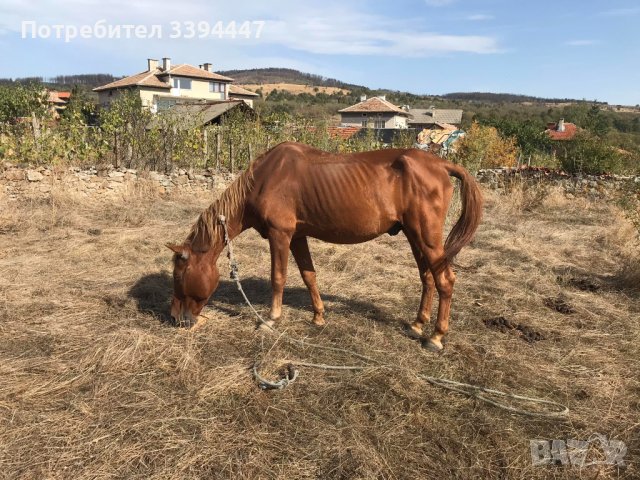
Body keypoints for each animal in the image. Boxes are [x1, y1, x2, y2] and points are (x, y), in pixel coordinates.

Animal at [168, 141, 482, 350]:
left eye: (179, 277)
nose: (176, 319)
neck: (265, 178)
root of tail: (442, 165)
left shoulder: (280, 235)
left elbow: (278, 277)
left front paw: (271, 320)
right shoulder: (297, 236)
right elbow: (309, 275)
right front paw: (318, 316)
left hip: (426, 235)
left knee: (445, 280)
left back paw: (436, 336)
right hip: (413, 234)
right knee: (427, 277)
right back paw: (418, 324)